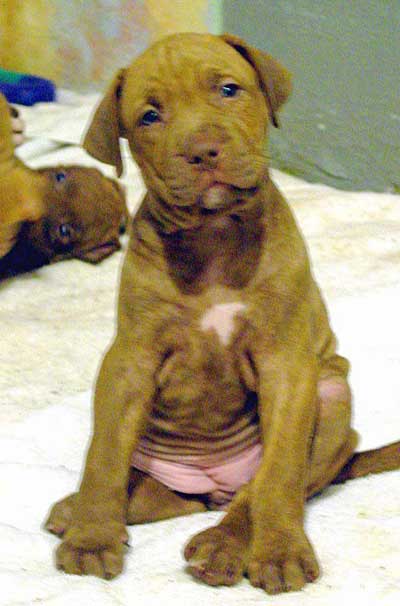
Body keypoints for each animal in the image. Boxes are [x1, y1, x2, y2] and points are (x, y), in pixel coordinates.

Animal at [46, 33, 400, 592]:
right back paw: (78, 510)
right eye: (149, 116)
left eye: (229, 90)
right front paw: (92, 537)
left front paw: (279, 553)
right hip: (169, 472)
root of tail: (213, 484)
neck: (213, 234)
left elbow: (279, 476)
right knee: (157, 493)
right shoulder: (129, 363)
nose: (202, 151)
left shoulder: (286, 368)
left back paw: (223, 546)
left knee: (259, 491)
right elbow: (103, 456)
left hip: (330, 395)